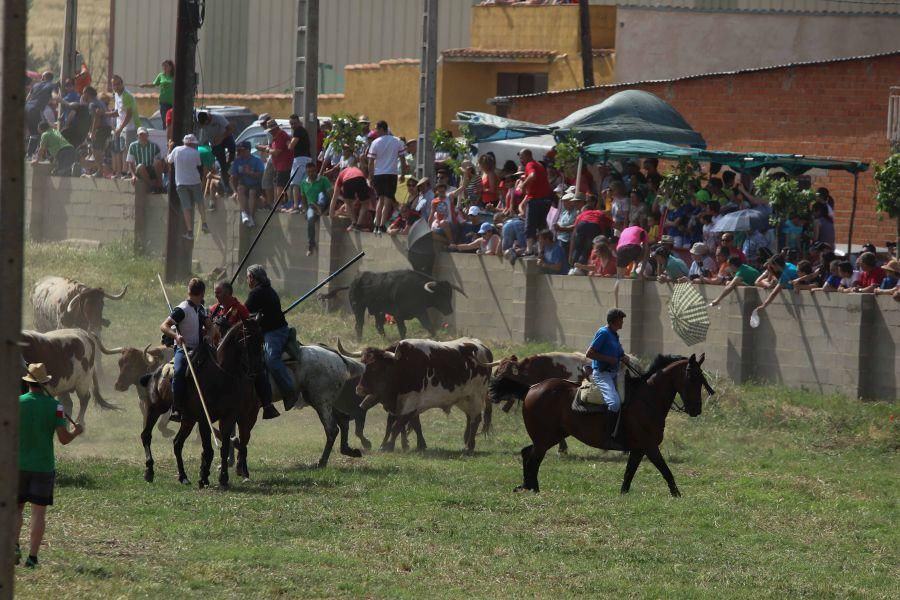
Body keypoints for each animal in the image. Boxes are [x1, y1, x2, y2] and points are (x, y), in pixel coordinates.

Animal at [352, 340, 492, 452]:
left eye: (375, 367)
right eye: (362, 364)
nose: (359, 389)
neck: (402, 366)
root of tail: (483, 347)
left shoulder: (411, 402)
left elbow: (397, 425)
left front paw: (389, 446)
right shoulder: (408, 405)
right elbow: (414, 424)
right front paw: (421, 445)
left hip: (476, 397)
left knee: (476, 419)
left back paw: (468, 446)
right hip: (464, 399)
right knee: (470, 417)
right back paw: (468, 441)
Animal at [512, 354, 712, 494]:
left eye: (702, 379)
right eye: (692, 378)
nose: (696, 409)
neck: (648, 398)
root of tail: (531, 388)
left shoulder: (639, 449)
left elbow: (629, 474)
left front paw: (623, 494)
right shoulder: (650, 446)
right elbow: (666, 470)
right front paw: (677, 494)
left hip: (548, 437)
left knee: (527, 453)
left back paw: (527, 486)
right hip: (546, 438)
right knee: (533, 459)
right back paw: (533, 488)